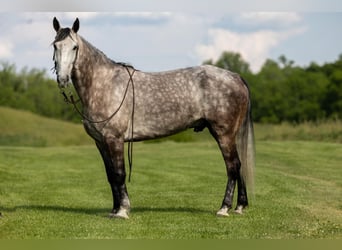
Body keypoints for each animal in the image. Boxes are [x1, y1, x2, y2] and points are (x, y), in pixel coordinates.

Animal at [50, 17, 254, 219]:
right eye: (55, 45)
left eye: (74, 47)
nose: (62, 79)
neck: (104, 84)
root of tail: (235, 76)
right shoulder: (100, 142)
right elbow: (110, 176)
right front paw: (114, 210)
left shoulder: (114, 139)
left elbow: (119, 173)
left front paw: (123, 211)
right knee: (239, 166)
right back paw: (240, 206)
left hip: (223, 134)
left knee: (232, 166)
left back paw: (224, 208)